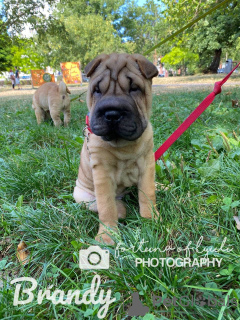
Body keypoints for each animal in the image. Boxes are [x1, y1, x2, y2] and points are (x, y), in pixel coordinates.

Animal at [73, 53, 159, 245]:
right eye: (97, 90)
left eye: (134, 88)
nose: (112, 114)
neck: (123, 145)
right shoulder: (102, 173)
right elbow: (106, 206)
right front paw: (107, 235)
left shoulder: (147, 164)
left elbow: (147, 193)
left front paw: (150, 218)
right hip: (81, 195)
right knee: (99, 205)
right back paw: (120, 209)